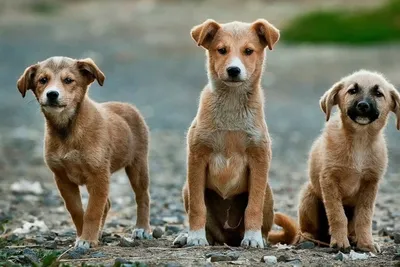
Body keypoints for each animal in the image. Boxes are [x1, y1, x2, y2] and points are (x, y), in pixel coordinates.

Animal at [16, 56, 152, 249]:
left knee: (143, 197)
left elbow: (93, 211)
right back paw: (100, 233)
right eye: (43, 80)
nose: (52, 94)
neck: (67, 130)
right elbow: (77, 211)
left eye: (68, 80)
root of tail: (128, 106)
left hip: (137, 165)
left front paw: (87, 239)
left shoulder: (98, 175)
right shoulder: (63, 178)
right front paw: (84, 236)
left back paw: (142, 228)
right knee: (107, 204)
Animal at [173, 18, 298, 249]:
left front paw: (253, 237)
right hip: (187, 188)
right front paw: (195, 236)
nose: (233, 70)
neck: (231, 104)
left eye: (248, 51)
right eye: (222, 50)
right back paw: (190, 236)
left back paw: (259, 237)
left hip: (268, 192)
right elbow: (197, 206)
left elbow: (253, 207)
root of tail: (228, 237)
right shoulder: (197, 157)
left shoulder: (259, 158)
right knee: (208, 226)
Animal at [298, 69, 398, 253]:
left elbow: (364, 217)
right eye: (352, 91)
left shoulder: (370, 183)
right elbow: (337, 215)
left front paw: (366, 243)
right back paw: (309, 238)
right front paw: (339, 242)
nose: (363, 106)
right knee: (307, 230)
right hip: (308, 196)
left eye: (378, 94)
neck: (359, 141)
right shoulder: (329, 180)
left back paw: (353, 238)